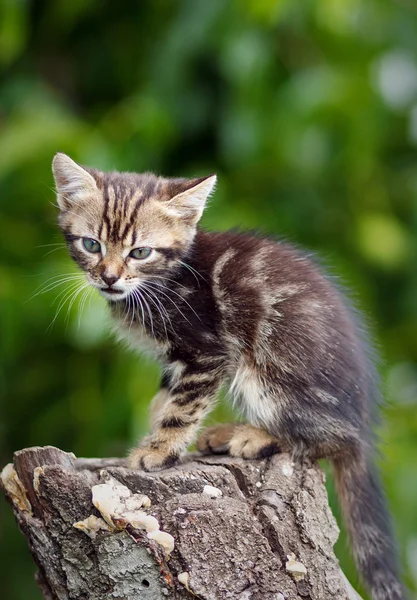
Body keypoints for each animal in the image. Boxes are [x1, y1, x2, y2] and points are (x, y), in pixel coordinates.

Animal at [52, 154, 404, 600]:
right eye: (91, 245)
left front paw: (158, 450)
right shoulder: (178, 359)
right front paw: (155, 430)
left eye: (140, 252)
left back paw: (252, 436)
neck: (164, 279)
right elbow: (165, 395)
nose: (109, 277)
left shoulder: (208, 350)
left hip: (266, 368)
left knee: (324, 436)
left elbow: (183, 406)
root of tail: (363, 427)